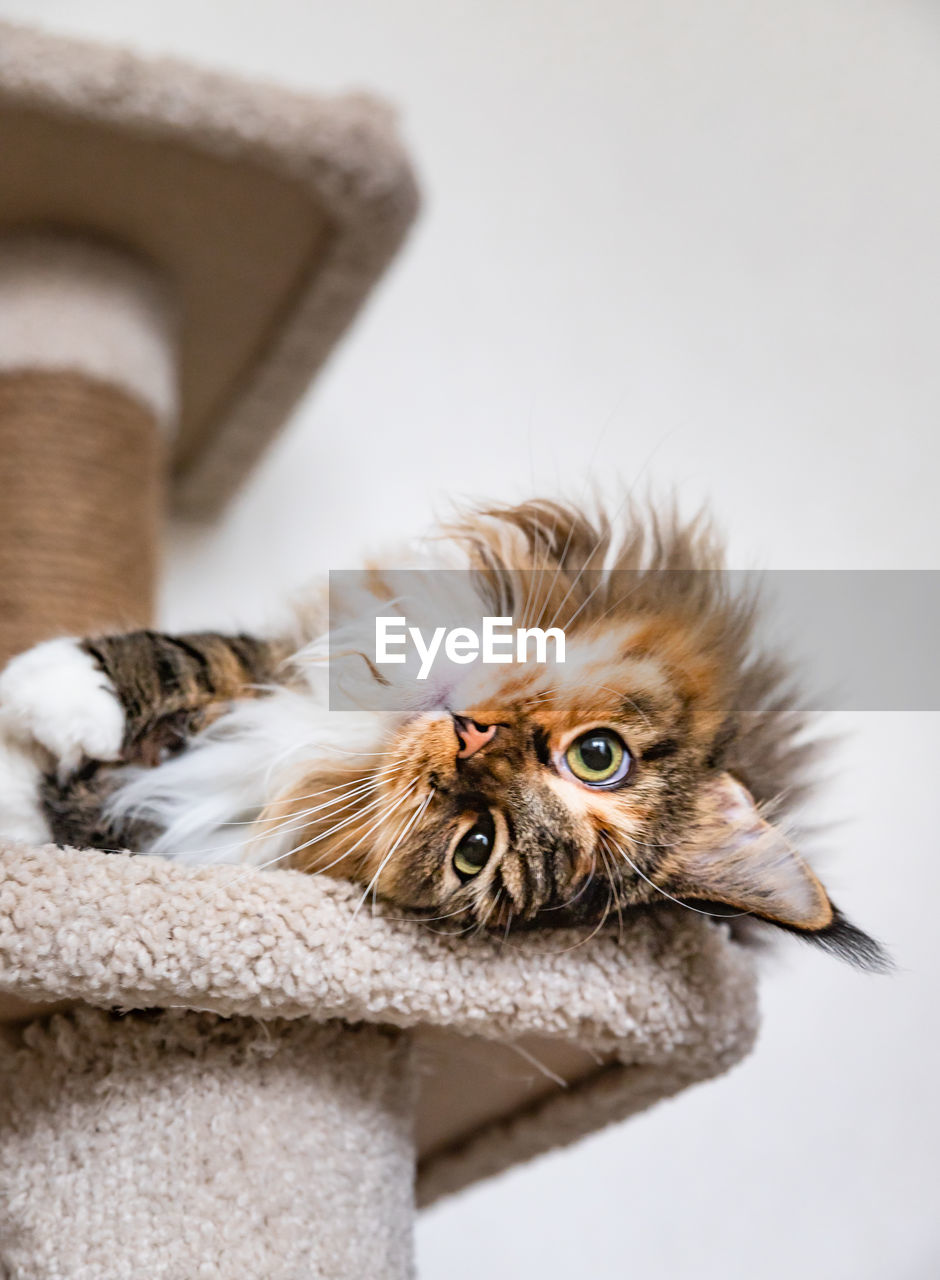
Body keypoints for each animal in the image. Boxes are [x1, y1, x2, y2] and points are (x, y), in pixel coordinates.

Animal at [0, 499, 891, 967]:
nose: (471, 738)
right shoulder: (289, 660)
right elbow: (204, 655)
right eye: (599, 756)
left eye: (476, 847)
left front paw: (38, 716)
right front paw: (64, 697)